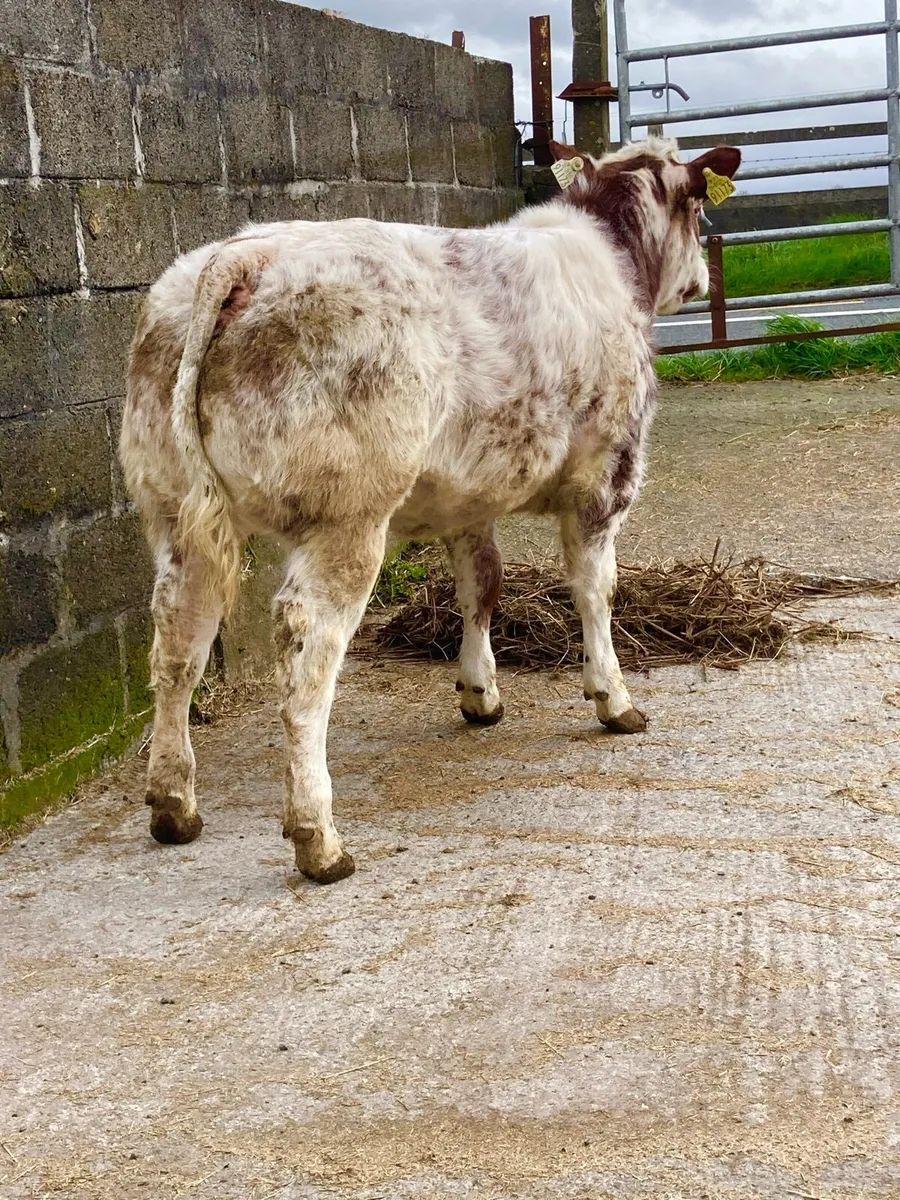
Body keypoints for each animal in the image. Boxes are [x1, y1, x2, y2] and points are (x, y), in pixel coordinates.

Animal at [120, 137, 741, 884]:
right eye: (698, 206)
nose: (703, 277)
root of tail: (249, 252)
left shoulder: (469, 496)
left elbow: (482, 584)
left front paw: (481, 693)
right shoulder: (606, 474)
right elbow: (596, 590)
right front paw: (614, 700)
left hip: (170, 507)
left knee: (177, 639)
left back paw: (173, 804)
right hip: (348, 514)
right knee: (305, 648)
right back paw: (318, 837)